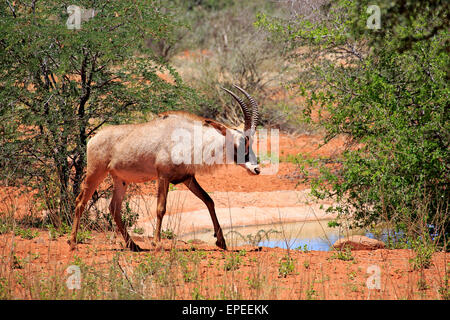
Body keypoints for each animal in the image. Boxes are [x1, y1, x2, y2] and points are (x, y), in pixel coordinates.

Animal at [68, 85, 262, 252]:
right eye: (241, 142)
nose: (256, 170)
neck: (187, 139)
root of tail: (94, 138)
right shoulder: (163, 176)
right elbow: (161, 209)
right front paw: (157, 243)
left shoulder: (187, 178)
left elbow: (209, 200)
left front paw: (221, 241)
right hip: (95, 173)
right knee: (80, 201)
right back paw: (73, 243)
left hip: (120, 180)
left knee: (114, 208)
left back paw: (133, 246)